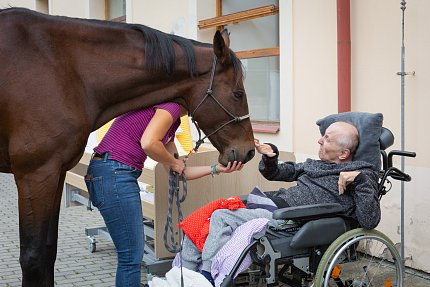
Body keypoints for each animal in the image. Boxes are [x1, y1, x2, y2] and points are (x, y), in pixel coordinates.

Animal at [0, 7, 255, 287]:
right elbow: (34, 258)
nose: (249, 151)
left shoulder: (54, 174)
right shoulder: (36, 175)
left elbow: (48, 251)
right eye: (238, 94)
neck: (63, 67)